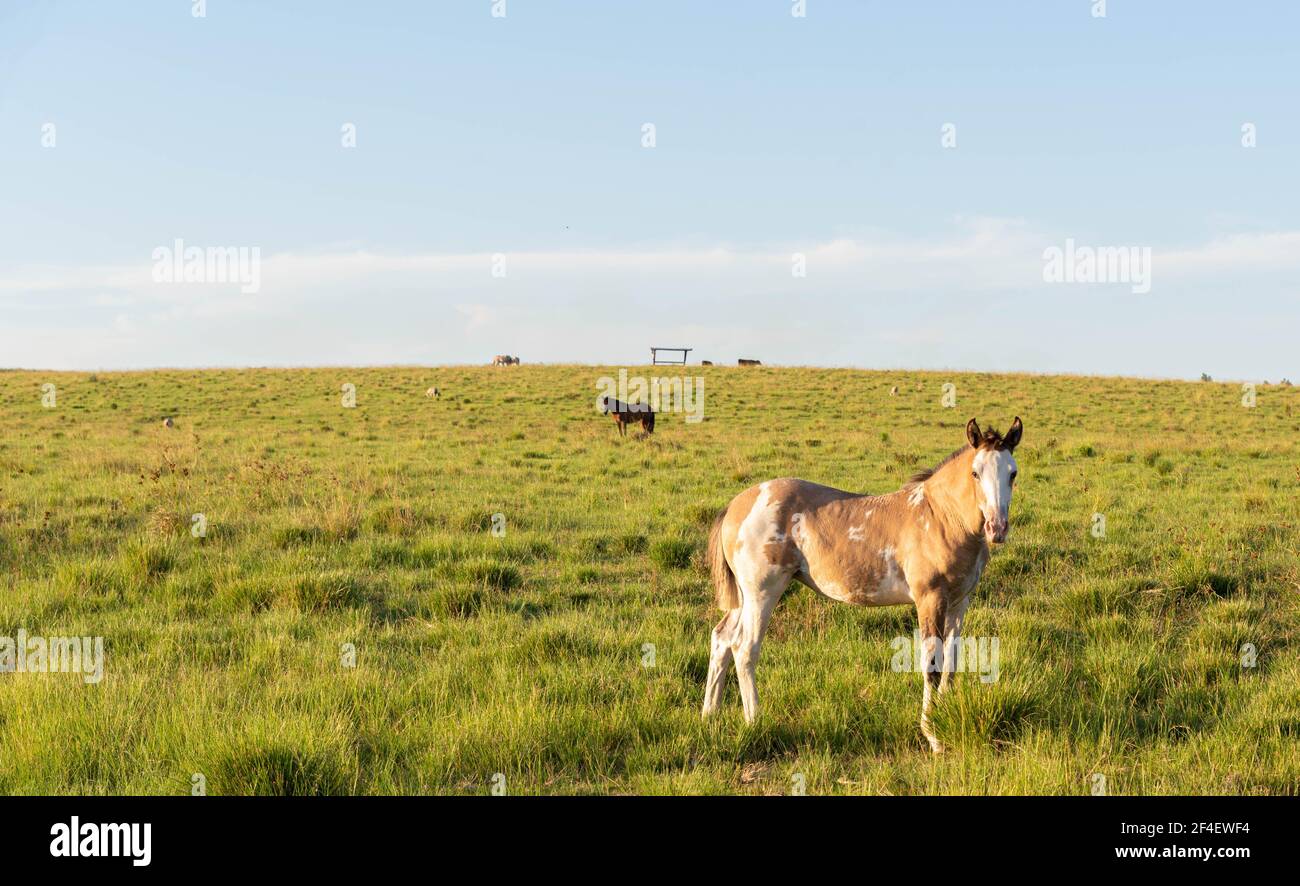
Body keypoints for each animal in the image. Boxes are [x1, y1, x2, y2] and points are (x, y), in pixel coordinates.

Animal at [701, 417, 1022, 753]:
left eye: (1012, 473)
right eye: (975, 472)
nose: (997, 528)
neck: (940, 518)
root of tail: (734, 506)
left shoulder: (960, 601)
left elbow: (952, 661)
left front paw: (945, 719)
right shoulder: (929, 598)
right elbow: (932, 665)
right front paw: (932, 735)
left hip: (743, 598)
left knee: (722, 639)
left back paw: (710, 715)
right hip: (763, 593)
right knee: (745, 647)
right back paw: (755, 721)